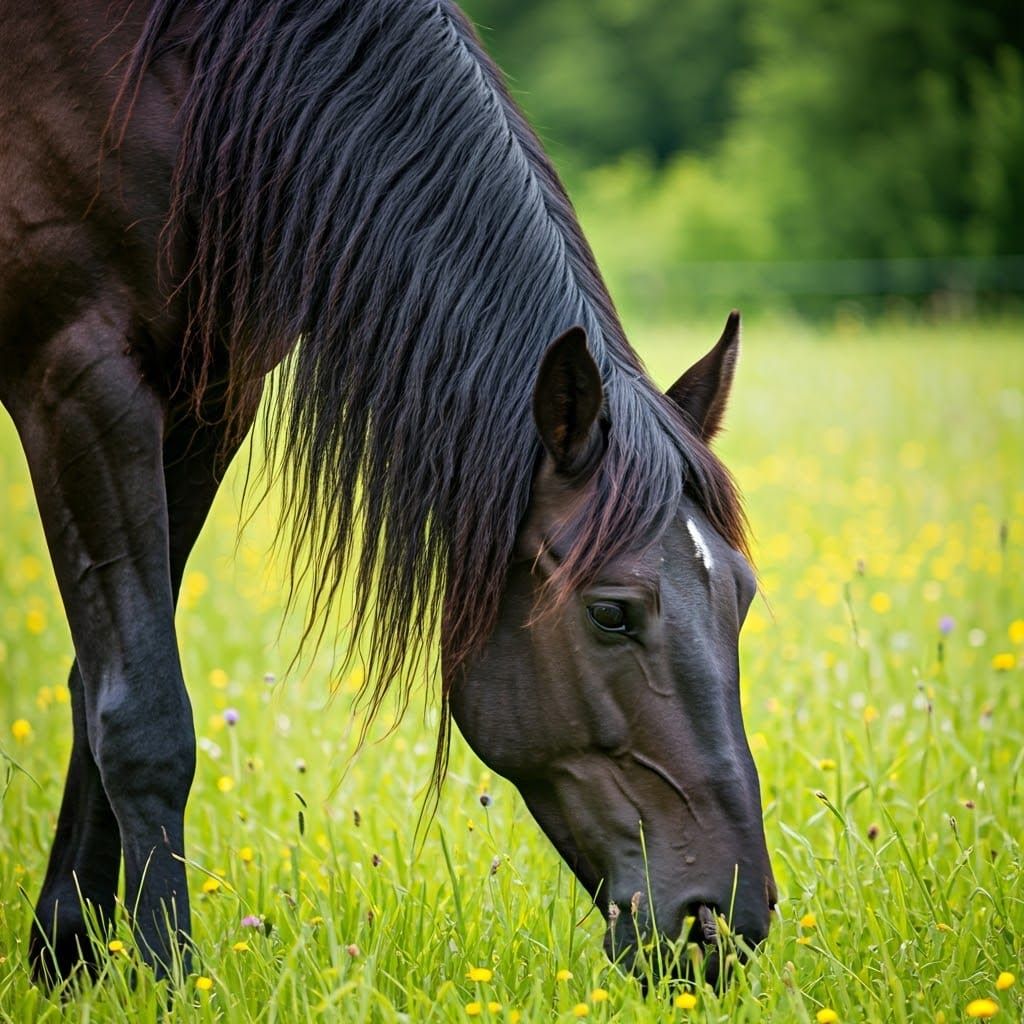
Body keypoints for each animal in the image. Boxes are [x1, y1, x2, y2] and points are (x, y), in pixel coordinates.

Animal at [0, 0, 776, 987]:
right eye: (610, 613)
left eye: (742, 598)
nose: (727, 922)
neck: (189, 79)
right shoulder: (76, 373)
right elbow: (143, 714)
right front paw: (169, 972)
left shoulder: (207, 397)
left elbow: (98, 679)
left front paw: (69, 955)